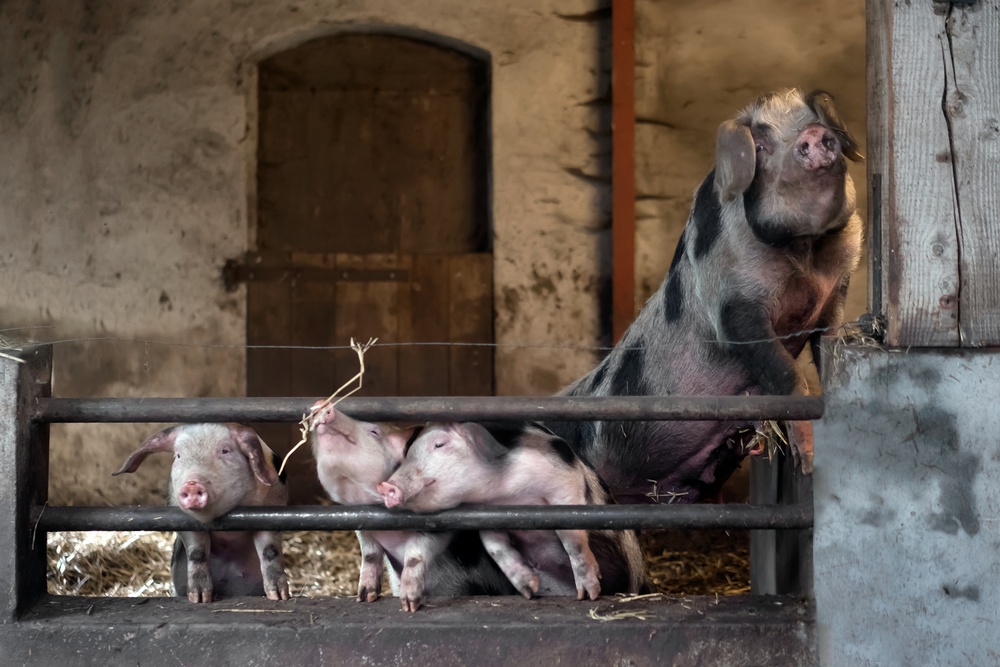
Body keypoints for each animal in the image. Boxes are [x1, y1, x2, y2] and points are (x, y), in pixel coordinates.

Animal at [112, 428, 290, 604]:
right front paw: (199, 598)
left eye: (225, 450)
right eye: (178, 456)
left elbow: (270, 550)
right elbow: (197, 552)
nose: (192, 484)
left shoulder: (272, 507)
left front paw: (279, 596)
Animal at [376, 422, 648, 600]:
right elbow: (495, 545)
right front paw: (526, 584)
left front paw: (588, 589)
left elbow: (571, 530)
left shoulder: (562, 476)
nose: (386, 486)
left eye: (439, 445)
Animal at [548, 90, 860, 506]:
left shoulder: (835, 294)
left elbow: (829, 349)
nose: (811, 133)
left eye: (815, 119)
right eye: (761, 144)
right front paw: (808, 463)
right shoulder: (731, 305)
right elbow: (787, 374)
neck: (805, 249)